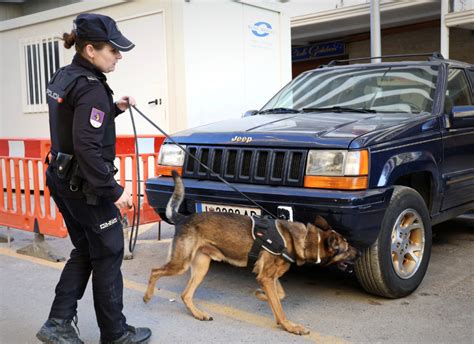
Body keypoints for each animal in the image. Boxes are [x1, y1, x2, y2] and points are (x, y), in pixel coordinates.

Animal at [144, 173, 360, 334]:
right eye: (347, 247)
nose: (359, 253)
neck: (302, 240)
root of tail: (183, 218)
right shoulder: (266, 277)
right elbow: (280, 308)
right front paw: (290, 326)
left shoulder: (268, 277)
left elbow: (280, 295)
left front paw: (261, 296)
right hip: (180, 264)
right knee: (155, 271)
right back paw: (147, 296)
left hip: (201, 268)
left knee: (185, 295)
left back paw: (199, 314)